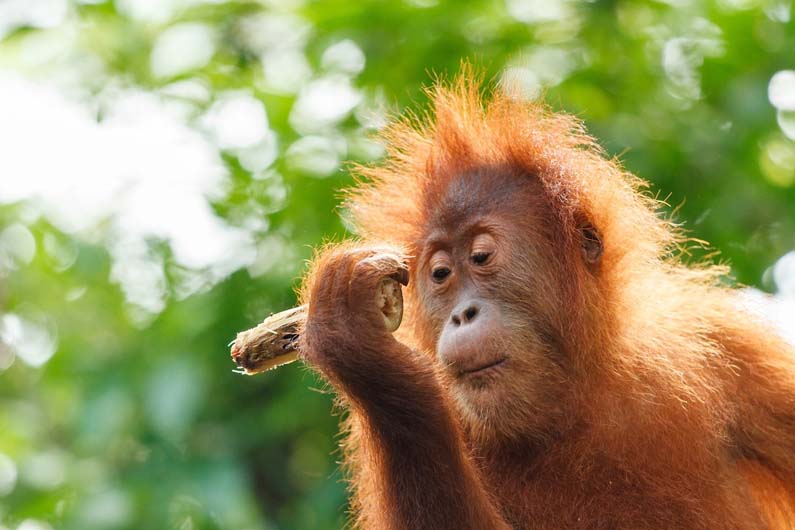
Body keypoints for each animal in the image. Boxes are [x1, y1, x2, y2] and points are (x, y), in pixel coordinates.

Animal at [295, 71, 795, 529]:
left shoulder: (731, 345)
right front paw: (366, 353)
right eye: (440, 275)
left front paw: (357, 342)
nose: (462, 315)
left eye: (481, 257)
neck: (576, 397)